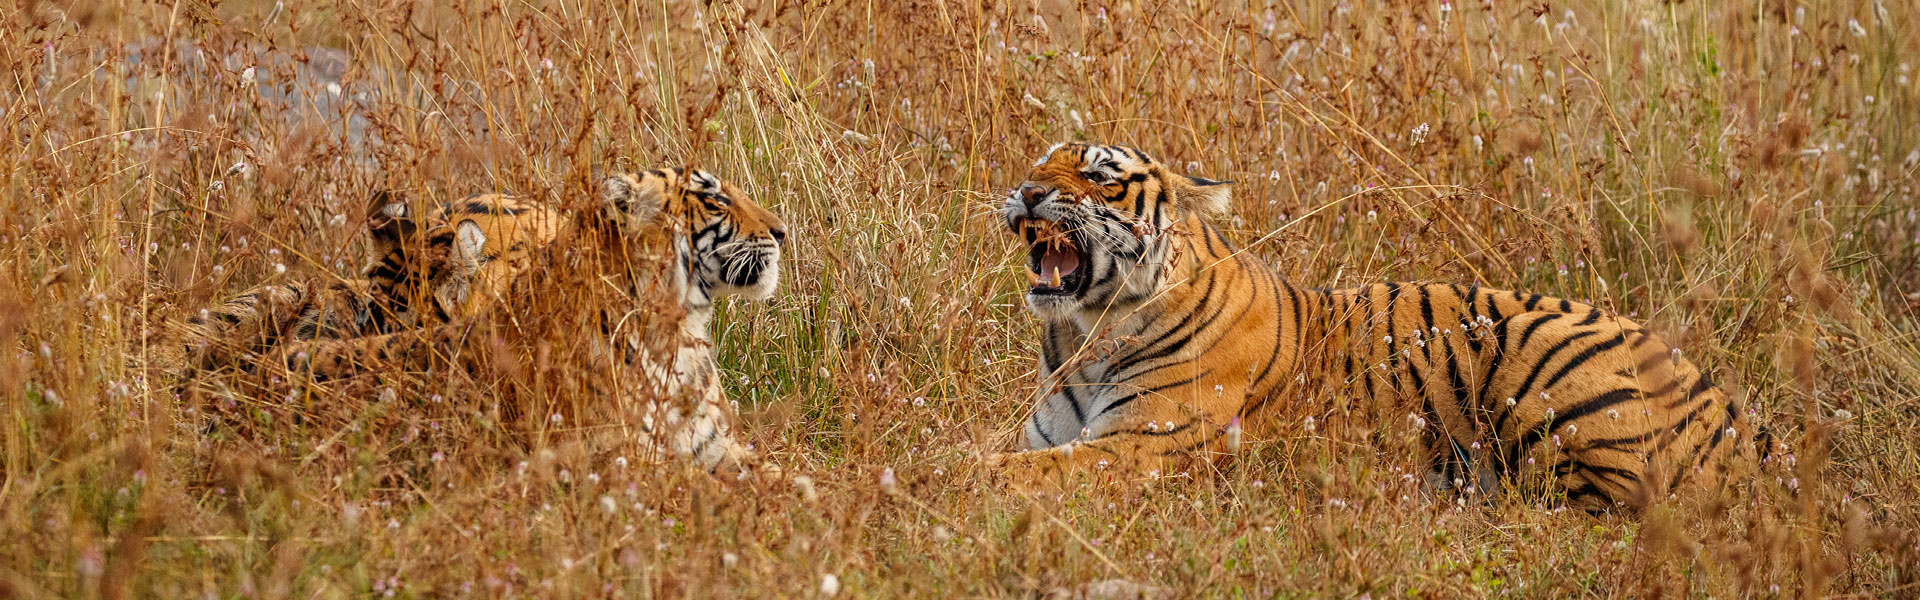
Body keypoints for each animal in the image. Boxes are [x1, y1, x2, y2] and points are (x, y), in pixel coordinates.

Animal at [990, 141, 1758, 511]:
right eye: (1041, 161)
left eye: (1102, 177)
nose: (1026, 191)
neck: (1084, 336)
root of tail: (1731, 408)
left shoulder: (1140, 448)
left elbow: (1002, 472)